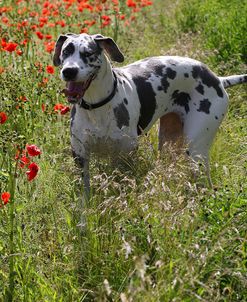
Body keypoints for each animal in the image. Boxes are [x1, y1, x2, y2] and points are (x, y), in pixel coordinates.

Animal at [53, 33, 246, 193]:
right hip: (169, 142)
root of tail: (218, 79)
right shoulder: (80, 156)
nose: (69, 71)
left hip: (196, 150)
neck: (97, 107)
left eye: (88, 53)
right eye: (66, 52)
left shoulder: (126, 155)